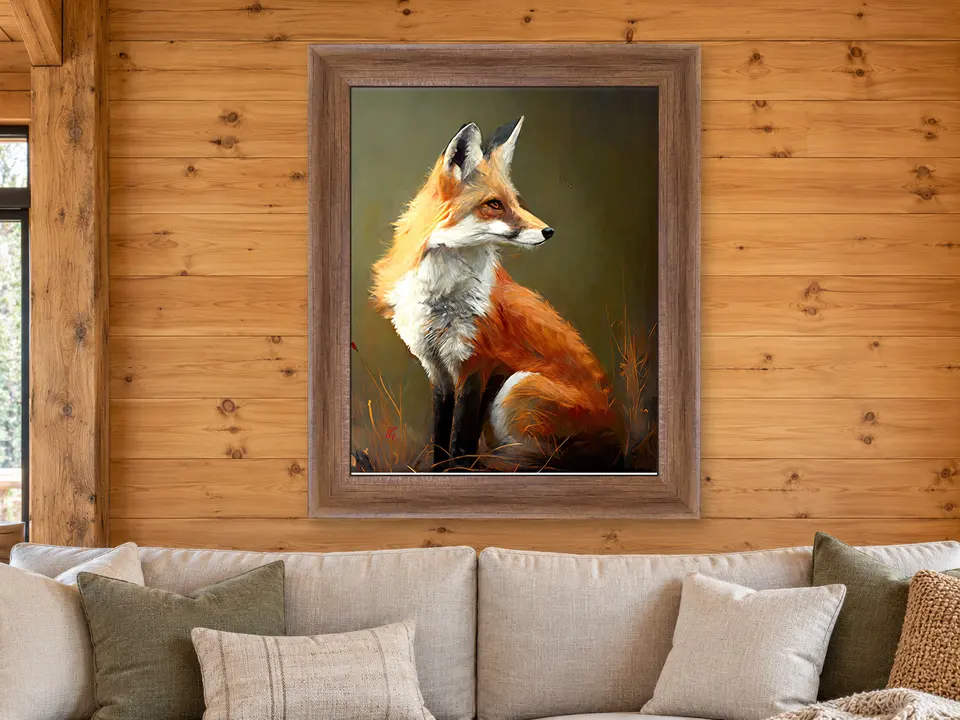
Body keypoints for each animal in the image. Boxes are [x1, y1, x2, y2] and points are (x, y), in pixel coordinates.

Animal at [371, 117, 622, 471]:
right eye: (494, 204)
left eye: (515, 201)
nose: (549, 231)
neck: (442, 297)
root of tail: (622, 442)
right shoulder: (438, 370)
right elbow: (441, 437)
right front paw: (439, 470)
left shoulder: (476, 363)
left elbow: (461, 440)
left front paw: (458, 470)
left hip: (516, 389)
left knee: (548, 461)